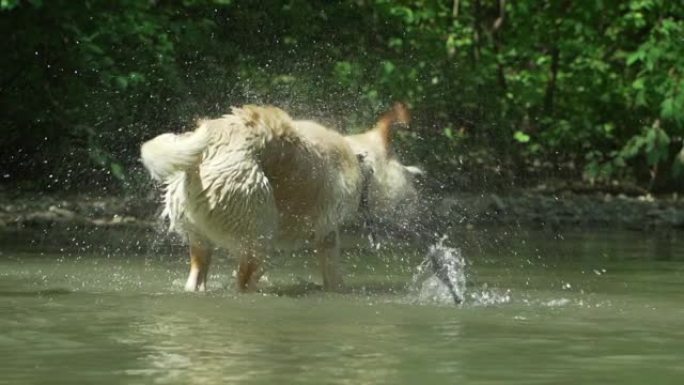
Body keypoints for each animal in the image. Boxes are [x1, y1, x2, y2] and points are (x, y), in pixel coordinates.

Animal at [141, 102, 420, 292]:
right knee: (243, 282)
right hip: (258, 236)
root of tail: (211, 145)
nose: (418, 180)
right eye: (402, 165)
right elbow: (334, 277)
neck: (357, 158)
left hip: (200, 242)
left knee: (197, 280)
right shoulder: (328, 234)